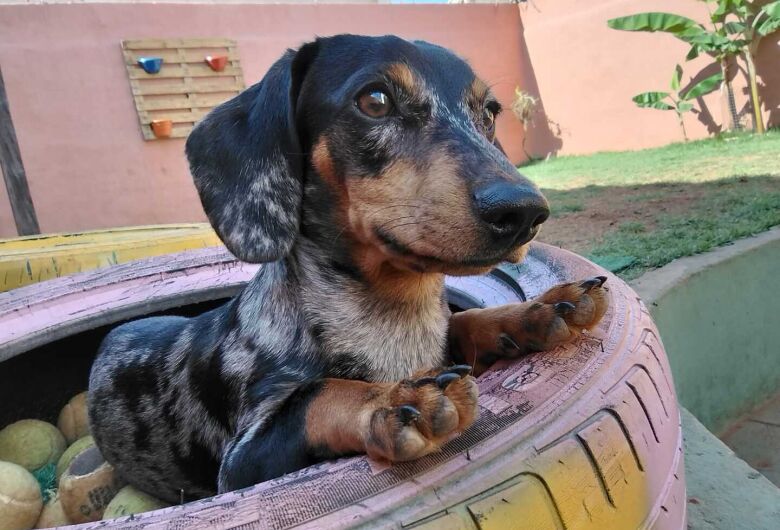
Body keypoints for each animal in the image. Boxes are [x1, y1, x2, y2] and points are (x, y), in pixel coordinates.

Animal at [87, 35, 608, 502]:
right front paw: (393, 400)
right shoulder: (240, 464)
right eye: (374, 100)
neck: (392, 315)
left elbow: (463, 322)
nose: (524, 211)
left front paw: (537, 311)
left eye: (491, 111)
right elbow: (320, 394)